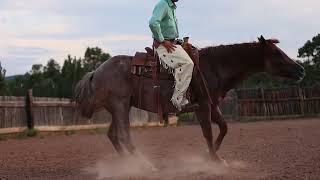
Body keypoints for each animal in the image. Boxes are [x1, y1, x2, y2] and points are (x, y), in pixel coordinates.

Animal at [73, 35, 304, 162]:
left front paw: (211, 155)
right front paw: (215, 160)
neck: (214, 67)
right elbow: (208, 133)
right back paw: (145, 165)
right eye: (277, 54)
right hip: (120, 106)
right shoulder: (202, 107)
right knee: (124, 137)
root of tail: (95, 72)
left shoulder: (212, 105)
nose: (301, 70)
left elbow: (224, 128)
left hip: (120, 108)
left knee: (113, 135)